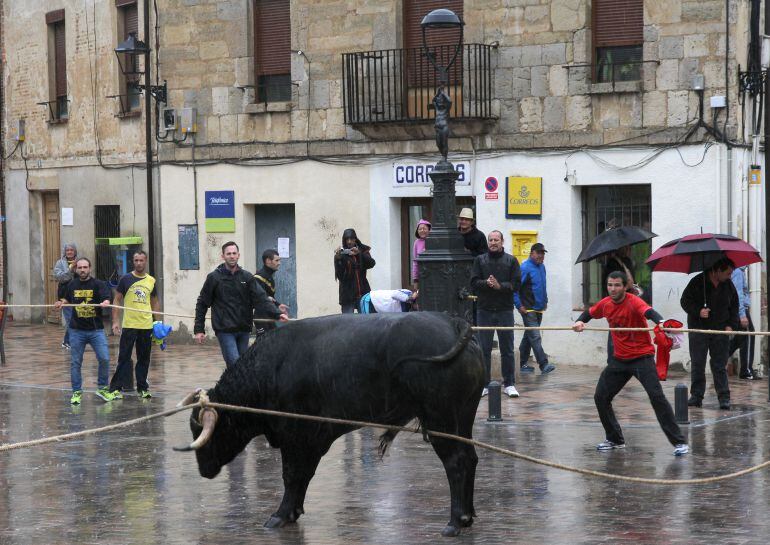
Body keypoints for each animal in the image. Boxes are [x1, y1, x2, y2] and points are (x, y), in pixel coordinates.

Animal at [178, 310, 484, 536]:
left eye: (208, 431)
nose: (203, 469)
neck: (271, 368)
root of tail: (452, 323)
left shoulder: (295, 436)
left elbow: (291, 475)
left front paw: (279, 515)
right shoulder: (313, 439)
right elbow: (302, 475)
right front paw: (293, 512)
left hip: (441, 420)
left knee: (456, 462)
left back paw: (455, 522)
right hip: (463, 417)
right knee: (470, 458)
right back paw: (468, 516)